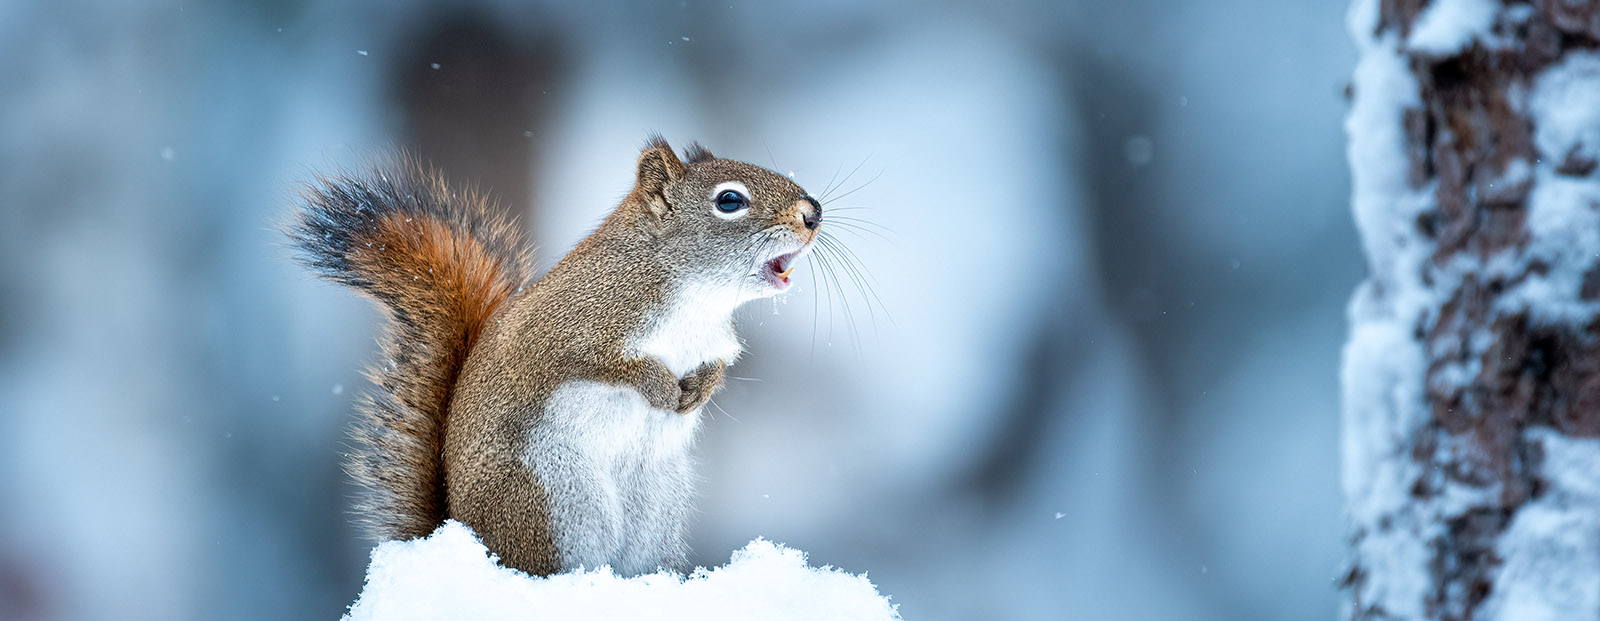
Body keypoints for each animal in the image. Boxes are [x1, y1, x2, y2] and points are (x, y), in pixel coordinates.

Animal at [284, 136, 825, 576]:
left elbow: (718, 366)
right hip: (550, 504)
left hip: (656, 509)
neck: (696, 295)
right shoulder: (568, 331)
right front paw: (658, 385)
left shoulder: (715, 342)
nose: (813, 213)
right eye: (729, 200)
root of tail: (457, 531)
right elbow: (608, 366)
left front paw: (699, 391)